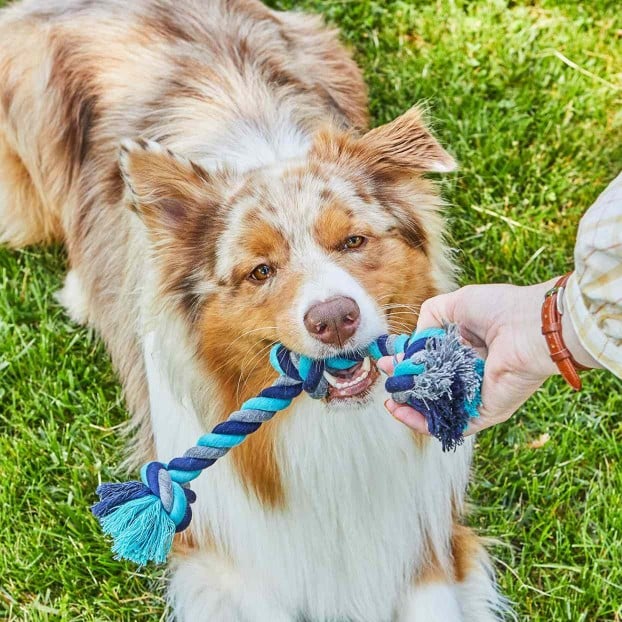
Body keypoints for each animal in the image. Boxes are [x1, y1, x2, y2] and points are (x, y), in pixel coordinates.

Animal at [0, 1, 508, 622]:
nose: (333, 319)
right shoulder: (225, 562)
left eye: (353, 242)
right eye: (260, 271)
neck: (332, 431)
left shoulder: (428, 542)